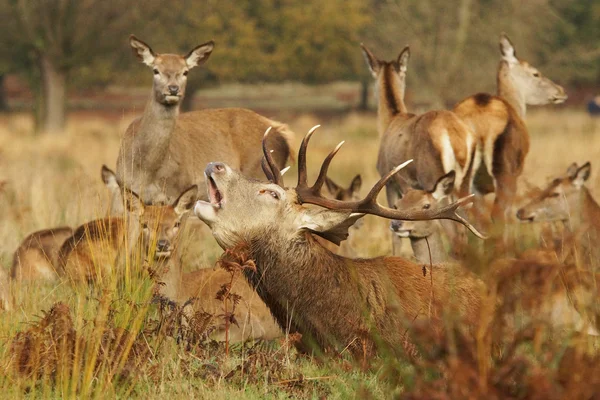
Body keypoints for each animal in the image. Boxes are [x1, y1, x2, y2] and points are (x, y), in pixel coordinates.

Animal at [116, 35, 294, 205]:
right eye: (155, 70)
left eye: (185, 72)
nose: (173, 89)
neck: (145, 170)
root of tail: (281, 130)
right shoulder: (121, 190)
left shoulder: (180, 191)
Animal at [360, 44, 478, 253]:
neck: (391, 121)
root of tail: (456, 136)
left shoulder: (389, 182)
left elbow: (395, 234)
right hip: (465, 183)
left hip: (434, 178)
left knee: (454, 231)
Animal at [454, 34, 568, 245]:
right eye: (535, 73)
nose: (561, 91)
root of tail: (479, 123)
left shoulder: (479, 187)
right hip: (505, 172)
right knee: (497, 215)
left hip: (462, 178)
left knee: (464, 216)